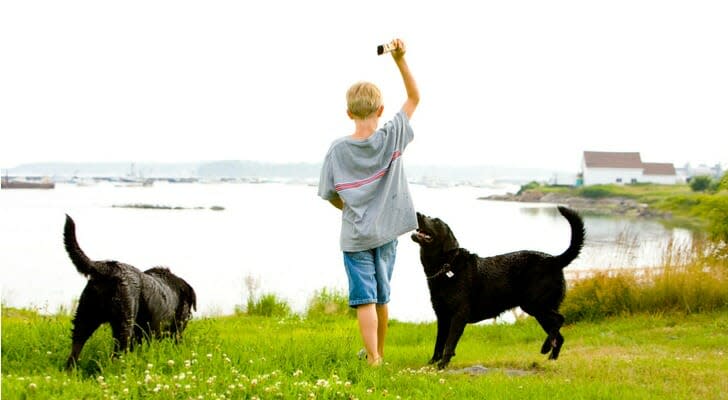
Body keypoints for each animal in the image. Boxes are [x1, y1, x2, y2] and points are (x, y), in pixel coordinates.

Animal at [62, 216, 196, 368]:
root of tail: (106, 268)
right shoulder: (171, 330)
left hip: (85, 317)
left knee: (76, 346)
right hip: (124, 321)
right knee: (118, 350)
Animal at [410, 206, 584, 368]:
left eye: (436, 221)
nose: (417, 213)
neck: (447, 266)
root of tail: (554, 260)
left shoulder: (459, 315)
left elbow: (449, 343)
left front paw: (442, 365)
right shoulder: (442, 316)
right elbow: (439, 343)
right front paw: (431, 364)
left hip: (535, 305)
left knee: (560, 320)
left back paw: (545, 348)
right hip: (540, 310)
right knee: (559, 335)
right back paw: (550, 359)